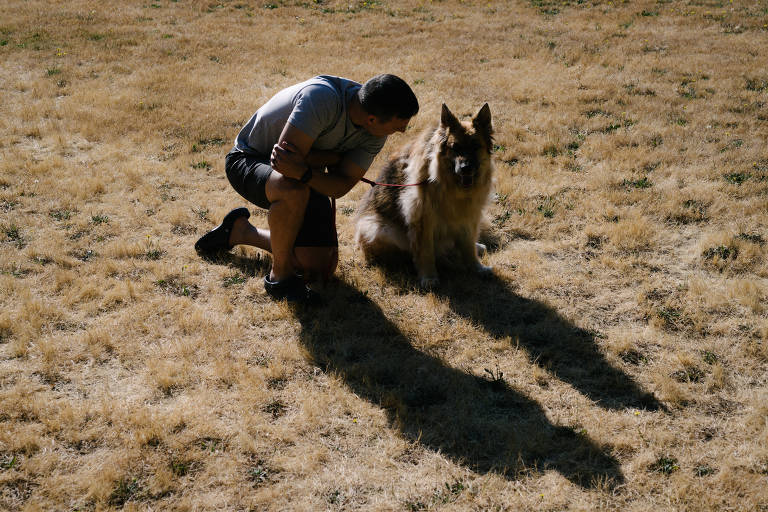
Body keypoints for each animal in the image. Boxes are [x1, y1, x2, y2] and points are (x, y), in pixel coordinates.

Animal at [356, 104, 496, 288]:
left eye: (475, 146)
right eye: (455, 147)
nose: (465, 168)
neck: (447, 184)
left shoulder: (468, 216)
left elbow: (468, 247)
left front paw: (476, 267)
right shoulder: (422, 219)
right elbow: (426, 251)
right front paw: (429, 277)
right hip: (379, 228)